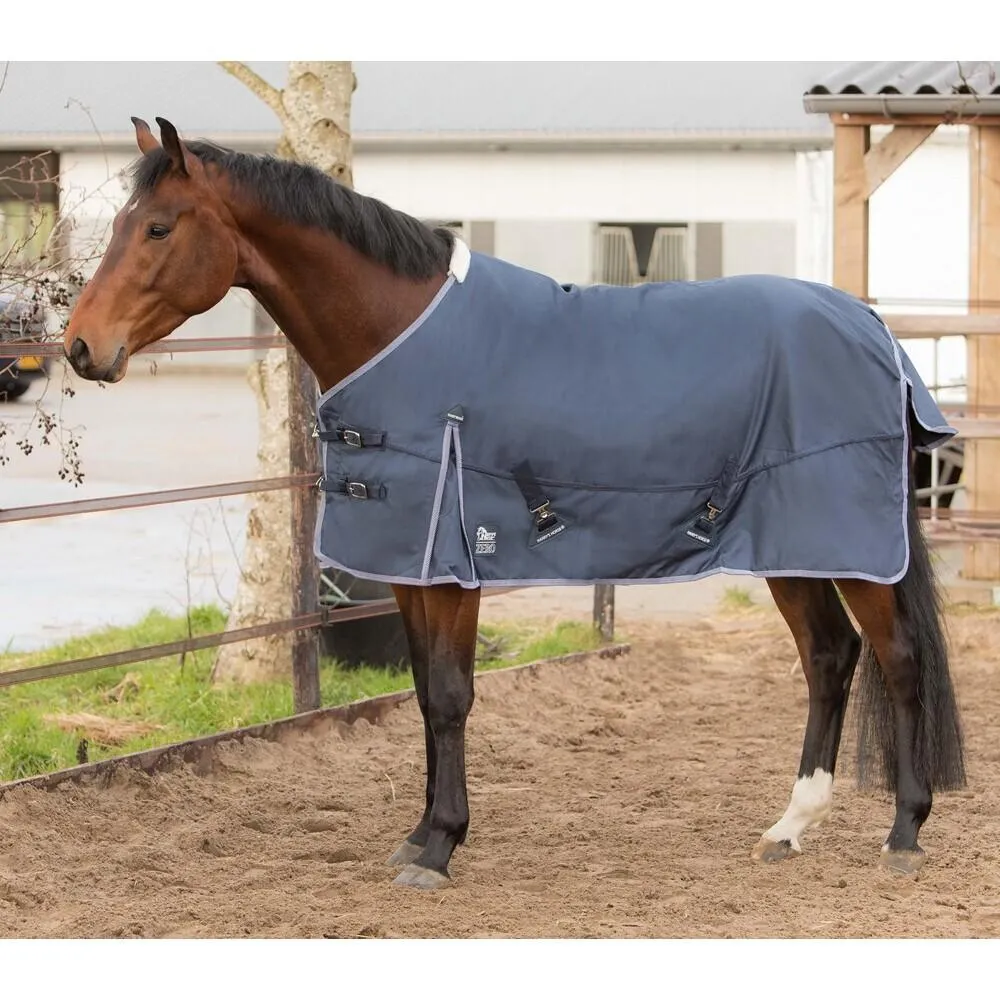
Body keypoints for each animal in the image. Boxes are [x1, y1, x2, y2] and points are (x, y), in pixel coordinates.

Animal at [63, 116, 965, 891]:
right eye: (120, 223)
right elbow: (423, 694)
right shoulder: (409, 566)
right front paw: (419, 835)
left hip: (850, 545)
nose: (80, 347)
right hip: (796, 543)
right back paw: (790, 827)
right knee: (830, 658)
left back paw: (904, 834)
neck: (400, 332)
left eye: (158, 228)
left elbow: (452, 695)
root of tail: (872, 329)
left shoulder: (456, 563)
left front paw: (440, 847)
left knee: (898, 659)